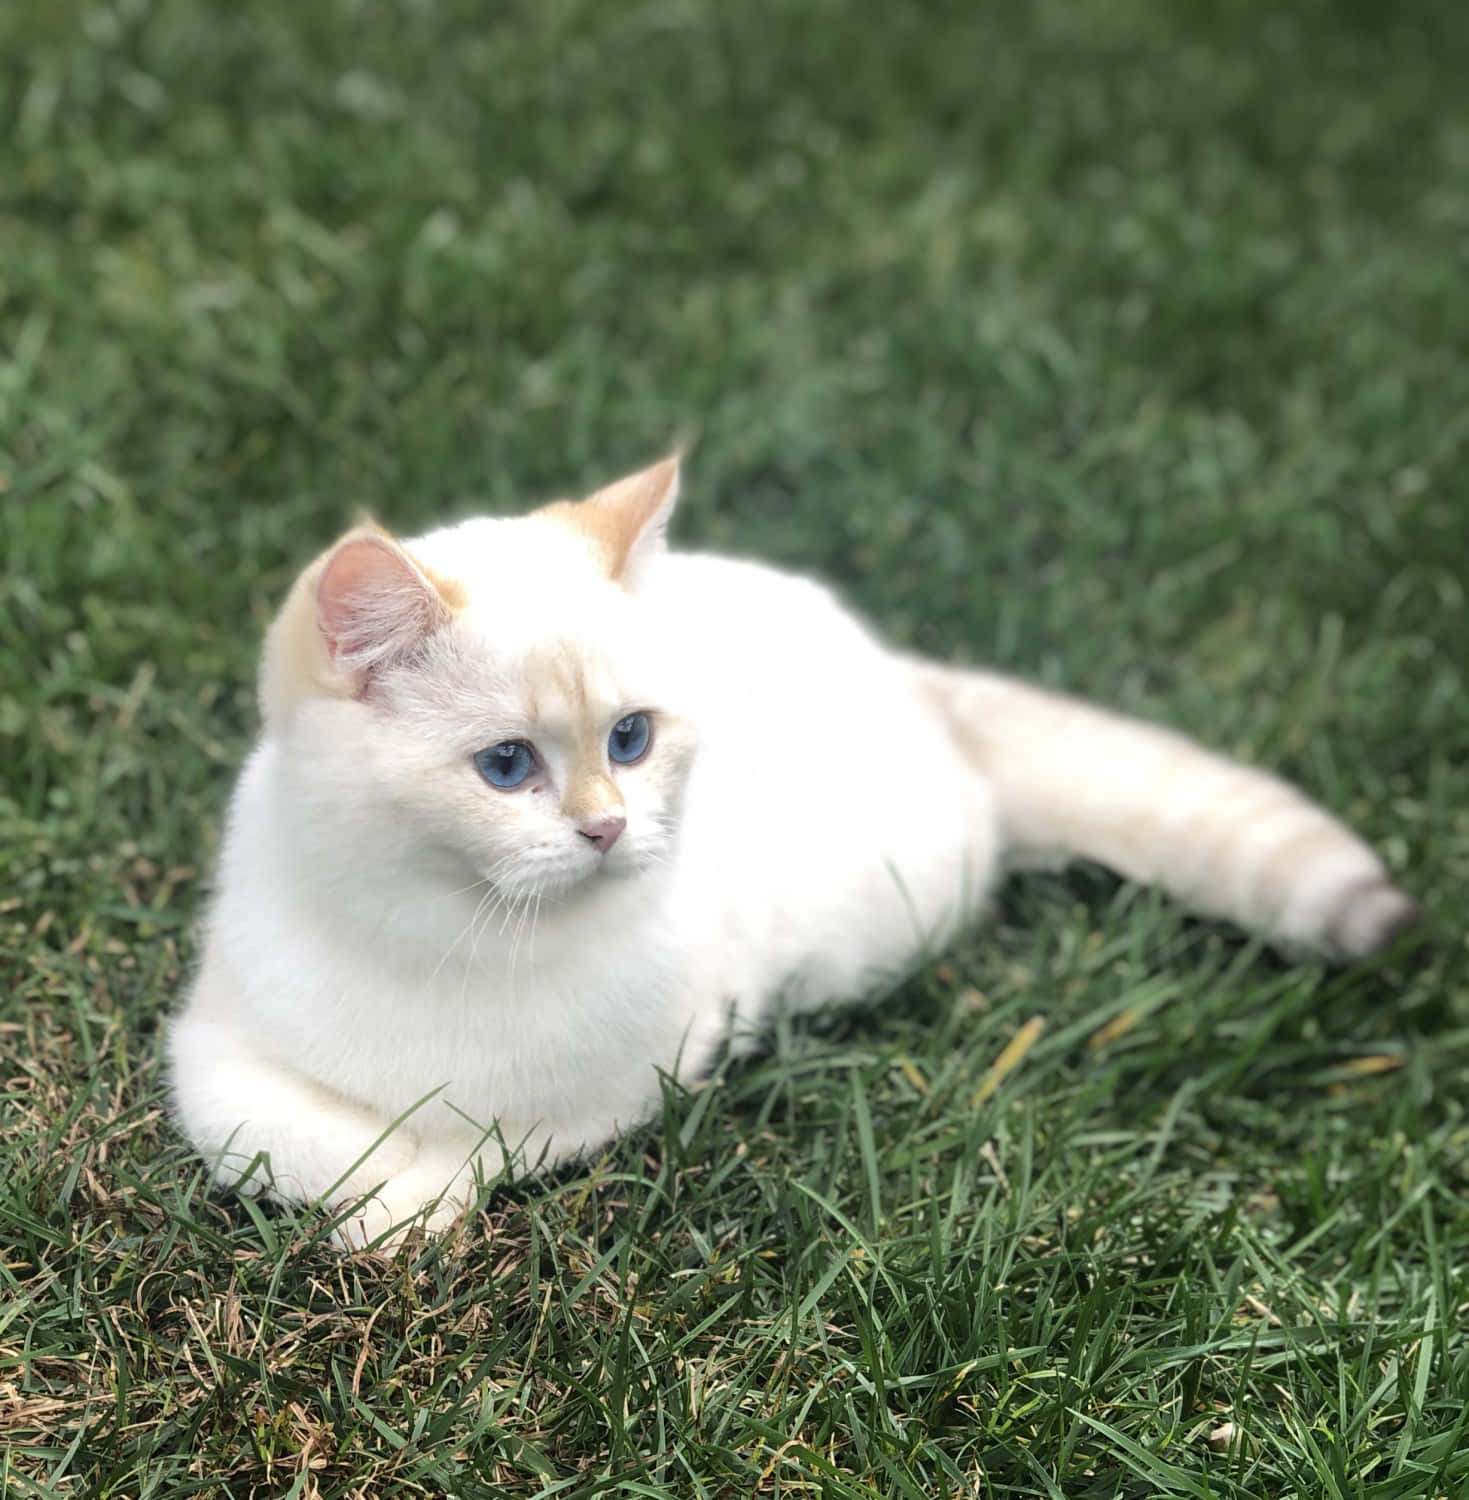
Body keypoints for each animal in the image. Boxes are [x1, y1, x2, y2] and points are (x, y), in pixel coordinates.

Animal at [166, 453, 1416, 1242]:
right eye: (506, 766)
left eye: (629, 739)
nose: (607, 828)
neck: (459, 931)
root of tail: (905, 671)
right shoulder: (212, 1061)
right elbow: (322, 1145)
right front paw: (391, 1215)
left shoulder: (640, 1071)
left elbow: (486, 1142)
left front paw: (417, 1212)